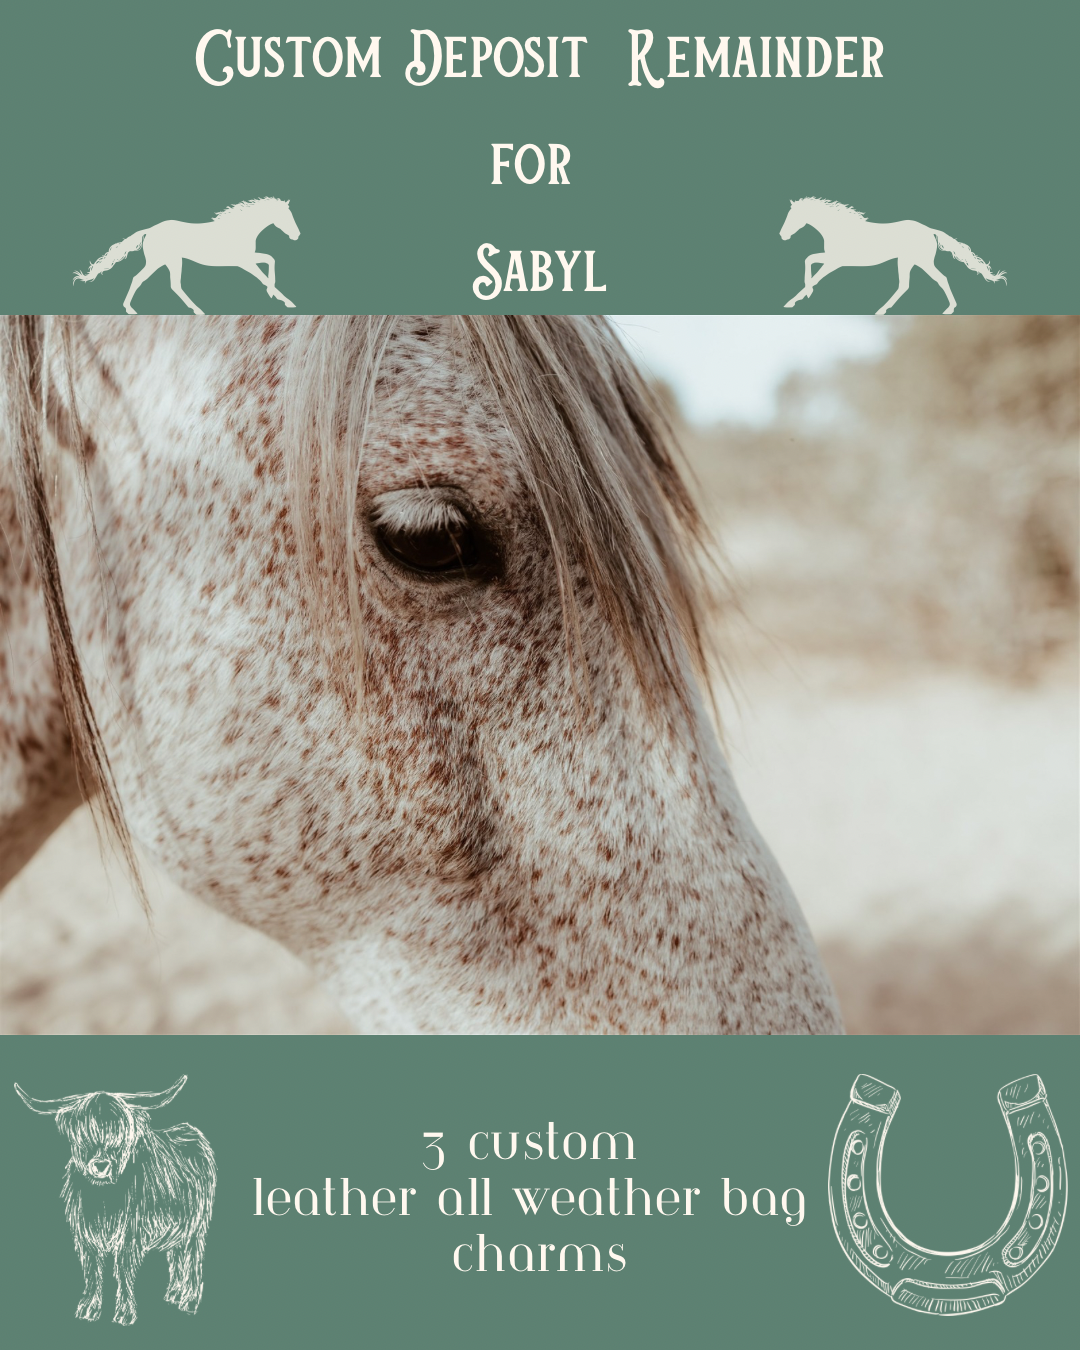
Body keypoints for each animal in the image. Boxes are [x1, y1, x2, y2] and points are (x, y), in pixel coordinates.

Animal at [13, 1075, 215, 1325]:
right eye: (83, 1134)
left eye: (120, 1133)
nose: (100, 1165)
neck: (104, 1199)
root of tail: (192, 1132)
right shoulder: (85, 1232)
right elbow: (91, 1268)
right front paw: (88, 1308)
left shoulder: (130, 1232)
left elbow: (123, 1268)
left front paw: (125, 1313)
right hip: (175, 1225)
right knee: (176, 1253)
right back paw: (174, 1294)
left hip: (197, 1223)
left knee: (193, 1255)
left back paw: (189, 1301)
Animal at [73, 198, 300, 316]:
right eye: (286, 216)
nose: (297, 235)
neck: (239, 229)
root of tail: (150, 230)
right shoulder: (243, 261)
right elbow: (267, 269)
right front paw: (283, 299)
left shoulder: (246, 259)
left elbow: (270, 260)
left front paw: (276, 295)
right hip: (161, 261)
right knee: (142, 279)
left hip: (170, 262)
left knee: (171, 284)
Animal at [779, 197, 1005, 314]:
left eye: (792, 216)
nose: (782, 235)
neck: (839, 229)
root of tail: (929, 229)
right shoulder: (832, 259)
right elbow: (809, 260)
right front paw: (802, 296)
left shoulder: (836, 261)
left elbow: (812, 269)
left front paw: (796, 299)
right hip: (909, 262)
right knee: (908, 284)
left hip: (918, 261)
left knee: (937, 279)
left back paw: (948, 309)